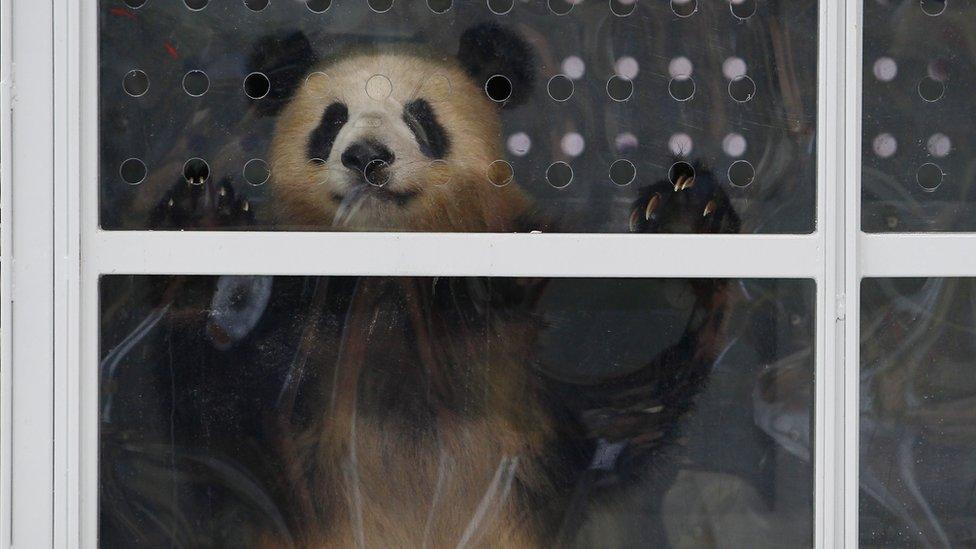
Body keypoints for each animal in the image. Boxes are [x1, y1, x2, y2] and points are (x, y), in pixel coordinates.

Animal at [135, 22, 740, 548]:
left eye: (419, 115)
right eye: (332, 119)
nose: (367, 157)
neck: (388, 281)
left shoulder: (508, 322)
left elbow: (616, 399)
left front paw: (676, 238)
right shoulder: (299, 337)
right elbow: (217, 424)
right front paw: (204, 234)